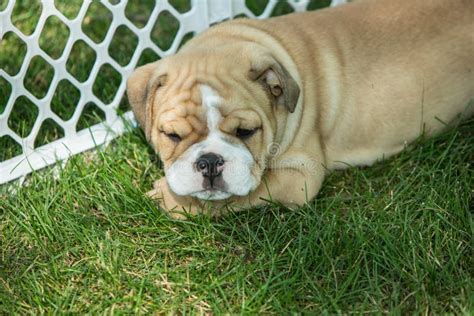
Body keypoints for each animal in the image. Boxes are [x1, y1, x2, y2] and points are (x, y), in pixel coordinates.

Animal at [128, 0, 472, 217]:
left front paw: (170, 200)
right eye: (172, 135)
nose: (210, 162)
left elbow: (245, 192)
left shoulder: (299, 176)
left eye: (246, 131)